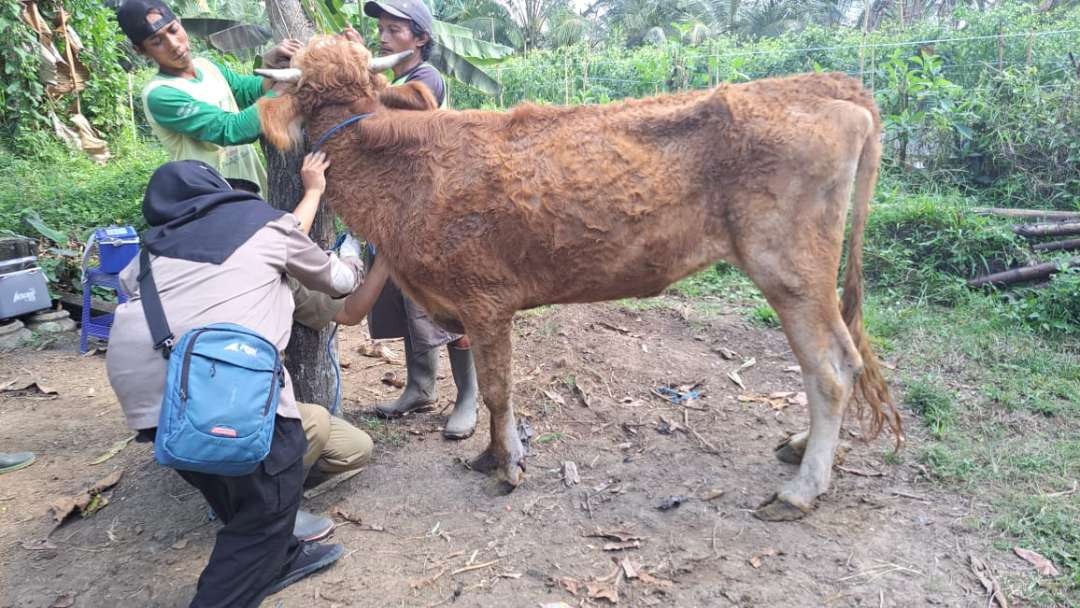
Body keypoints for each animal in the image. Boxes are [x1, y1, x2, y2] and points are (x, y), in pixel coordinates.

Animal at [259, 35, 902, 520]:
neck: (401, 171)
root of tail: (820, 85)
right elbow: (491, 387)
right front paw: (492, 456)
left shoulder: (484, 300)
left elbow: (497, 390)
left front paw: (507, 466)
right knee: (840, 363)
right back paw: (800, 449)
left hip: (789, 269)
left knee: (831, 370)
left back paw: (801, 490)